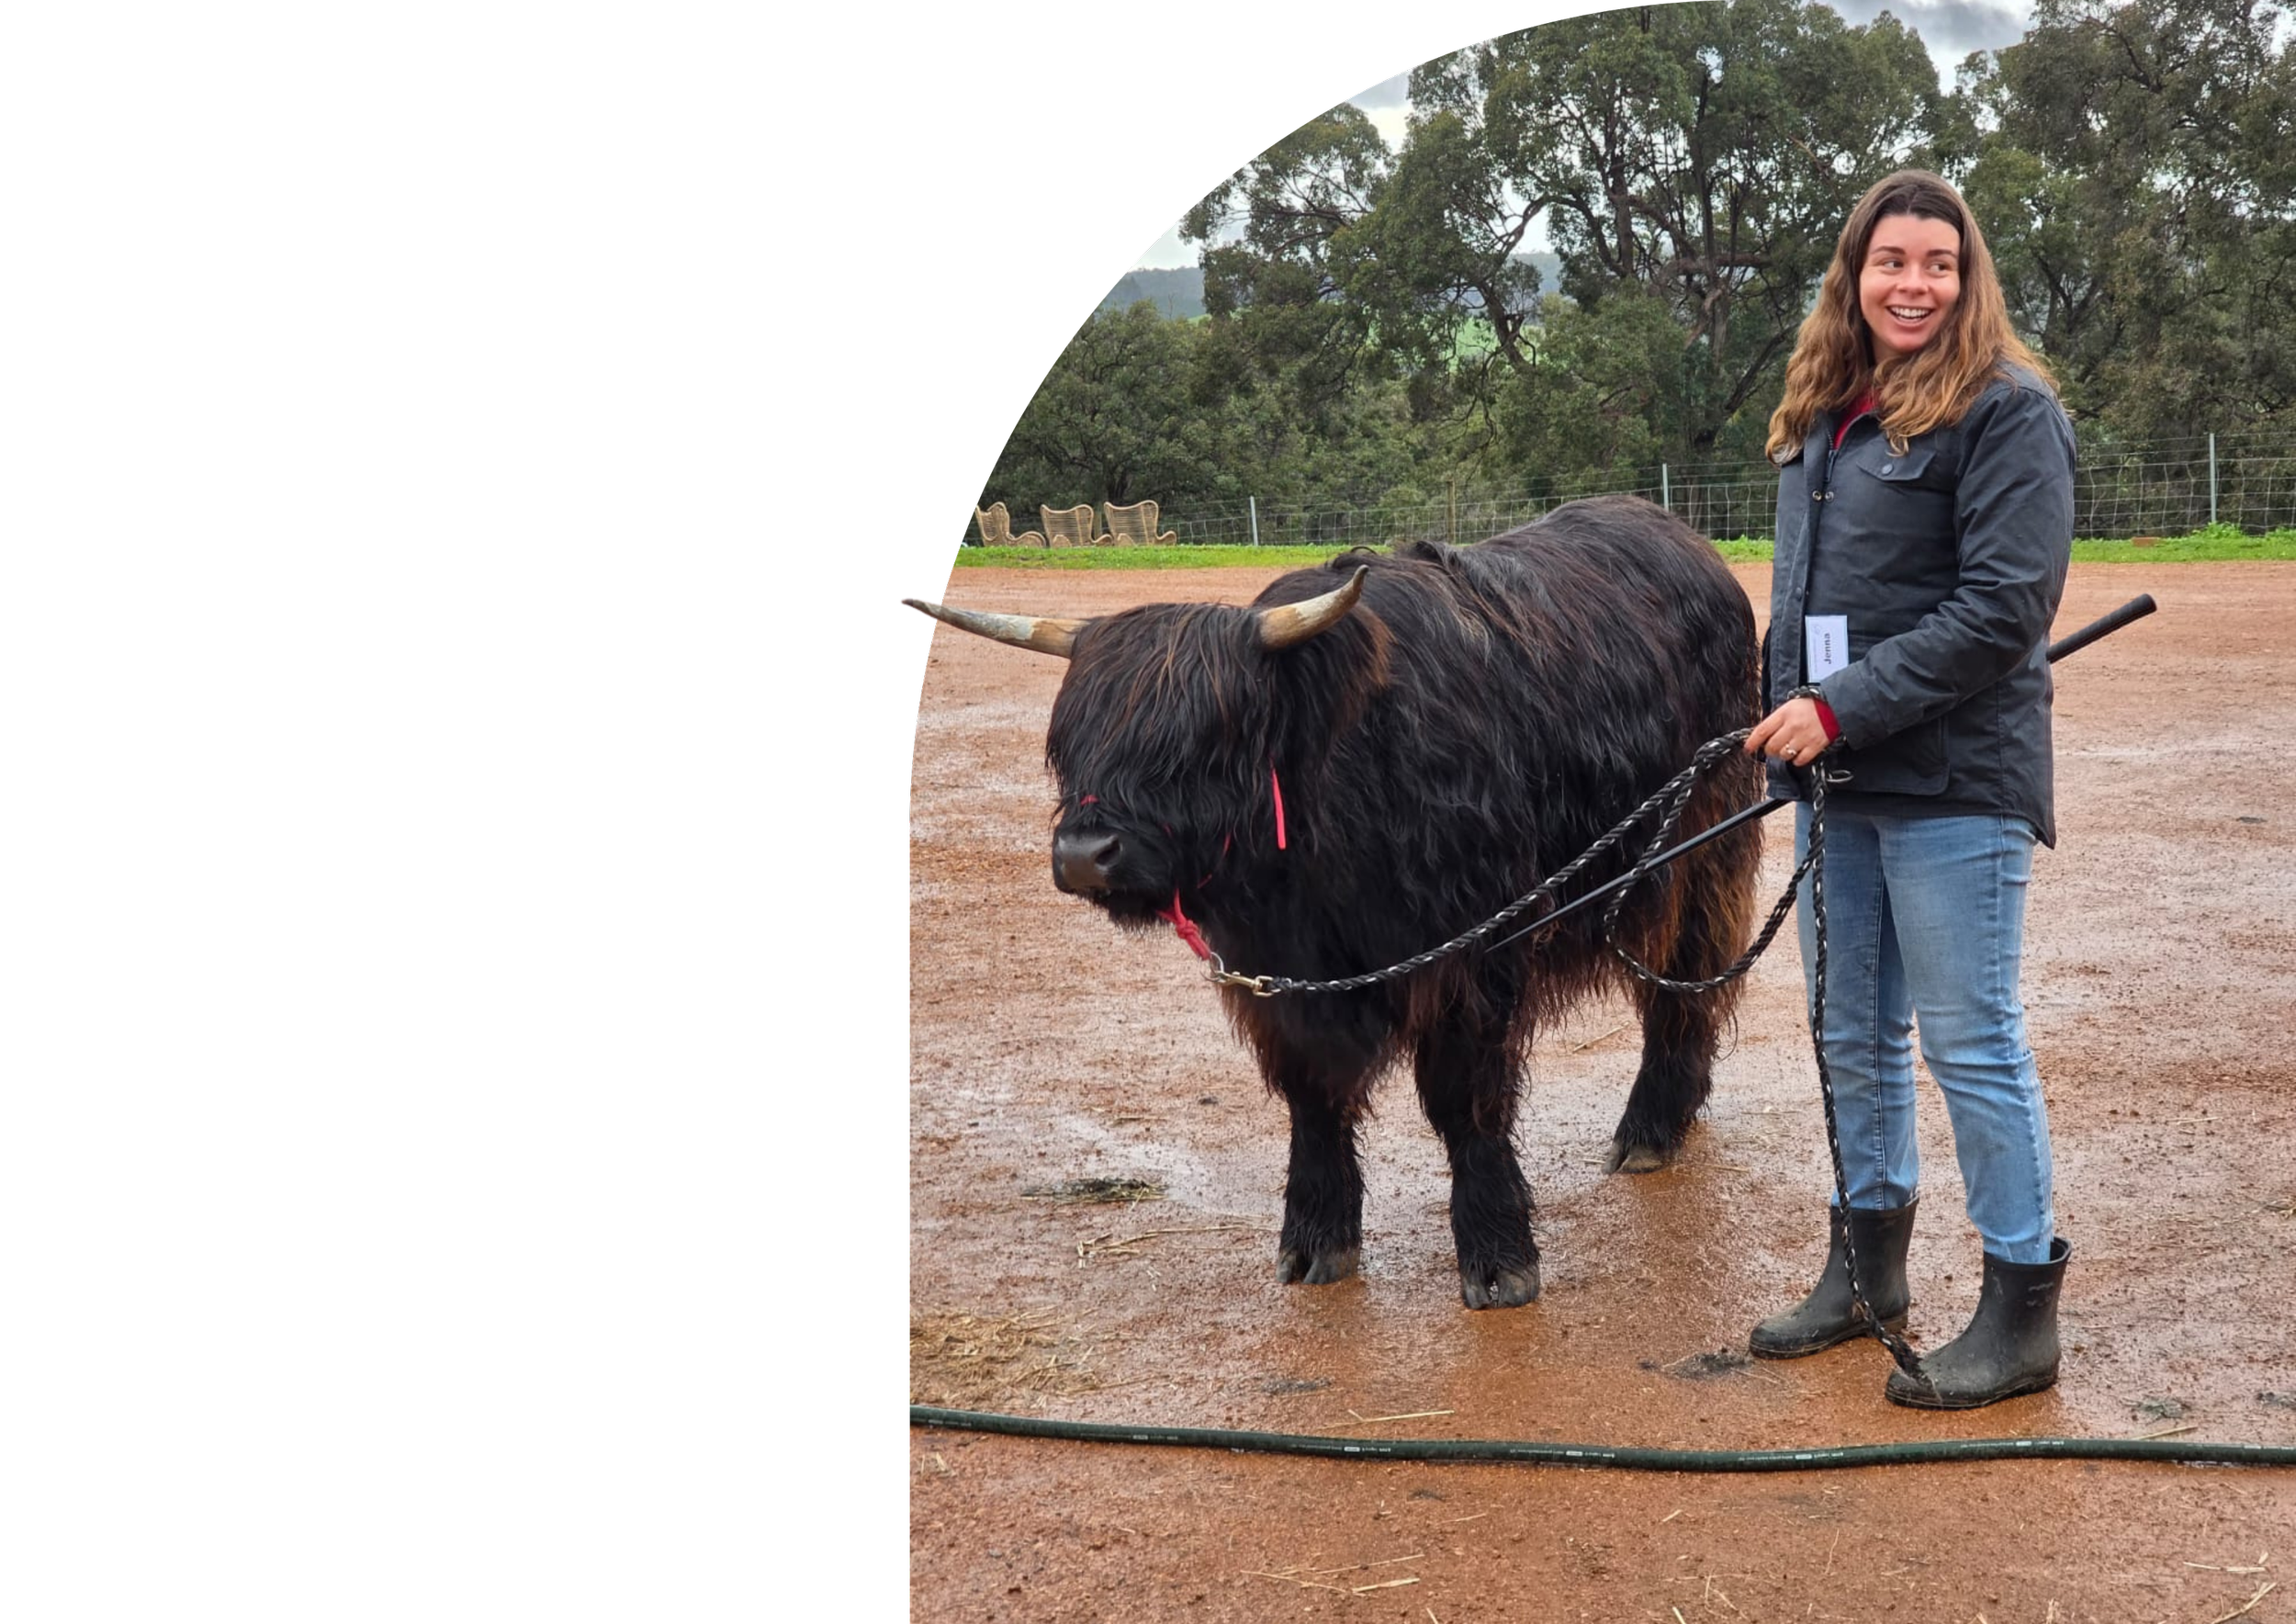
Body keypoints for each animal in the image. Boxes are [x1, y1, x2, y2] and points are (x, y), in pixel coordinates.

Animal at [905, 494, 1762, 1308]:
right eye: (1070, 741)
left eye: (1203, 739)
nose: (1086, 857)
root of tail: (1682, 539)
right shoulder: (1279, 974)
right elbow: (1313, 1098)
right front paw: (1316, 1238)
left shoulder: (1470, 957)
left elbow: (1465, 1102)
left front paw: (1497, 1256)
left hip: (1699, 853)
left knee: (1685, 982)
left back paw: (1650, 1128)